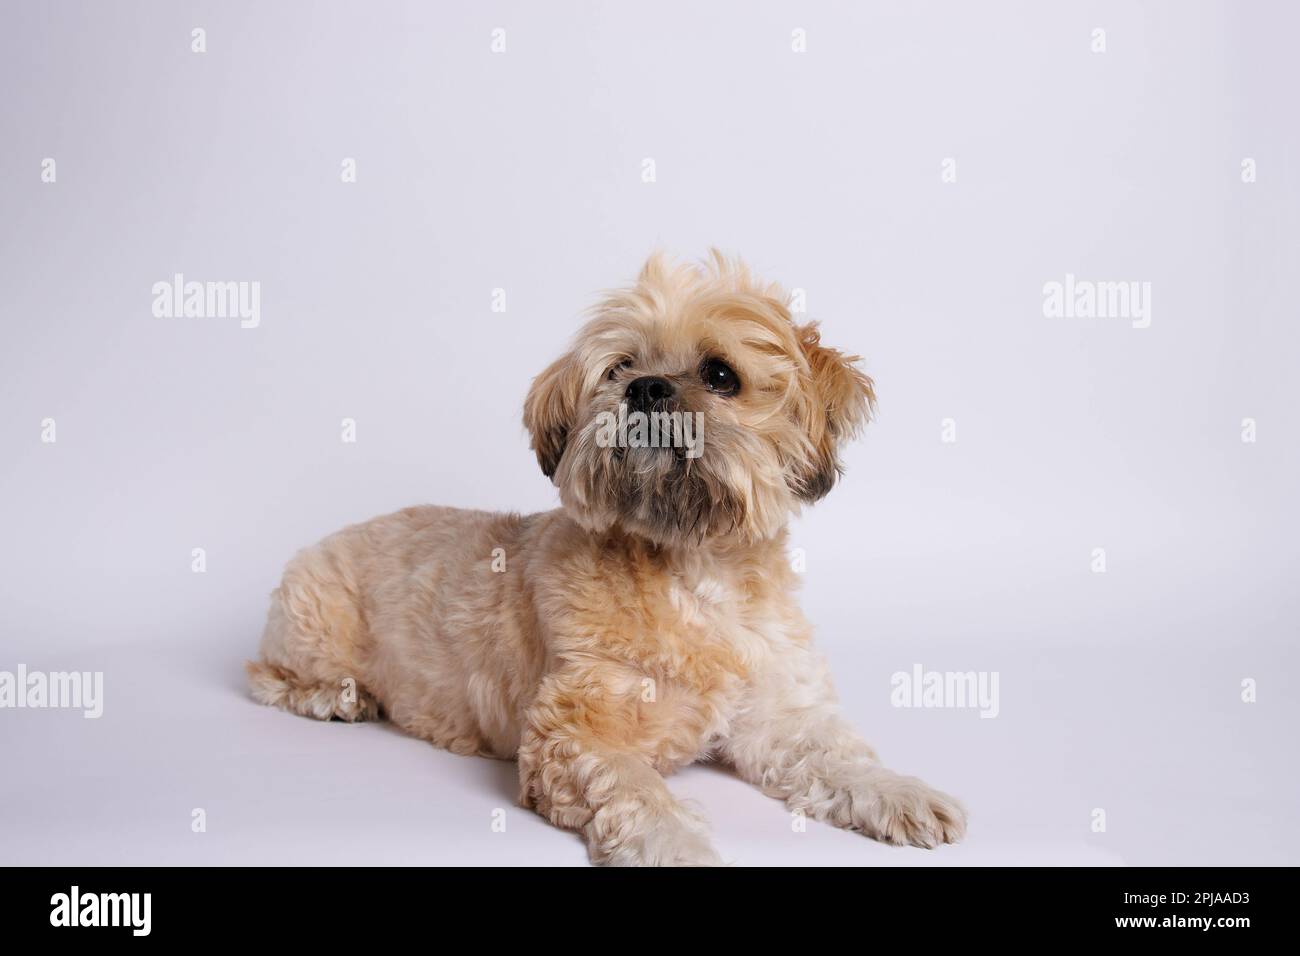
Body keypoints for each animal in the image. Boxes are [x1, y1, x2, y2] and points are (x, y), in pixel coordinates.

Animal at [250, 254, 967, 868]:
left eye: (720, 375)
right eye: (621, 366)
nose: (646, 388)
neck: (693, 573)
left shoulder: (776, 717)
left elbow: (834, 755)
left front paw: (898, 790)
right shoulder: (575, 731)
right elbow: (633, 787)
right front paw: (676, 843)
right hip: (310, 620)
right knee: (267, 674)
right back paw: (334, 696)